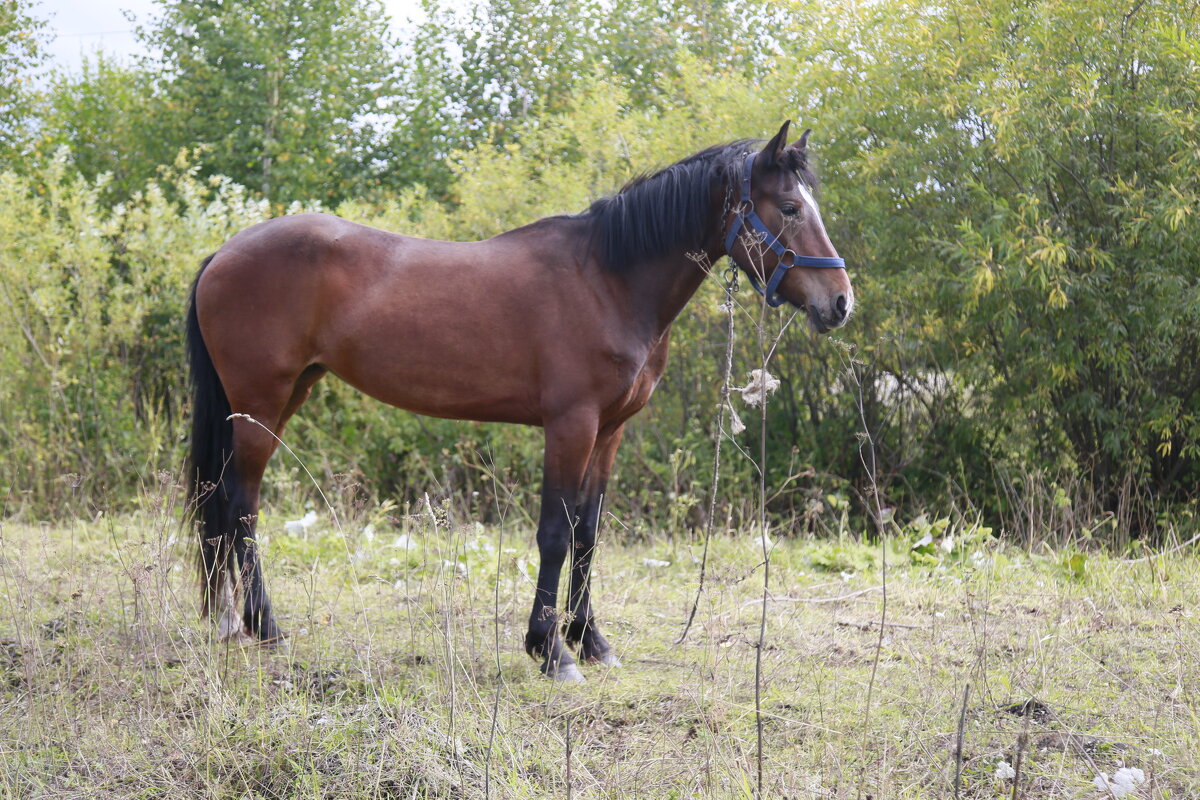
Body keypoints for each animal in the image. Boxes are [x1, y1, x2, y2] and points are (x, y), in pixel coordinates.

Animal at [184, 120, 854, 681]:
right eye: (789, 208)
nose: (841, 303)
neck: (607, 278)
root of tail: (224, 252)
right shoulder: (570, 426)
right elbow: (555, 533)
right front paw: (551, 650)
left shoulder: (608, 432)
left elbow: (588, 532)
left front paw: (592, 641)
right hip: (261, 402)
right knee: (241, 506)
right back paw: (264, 627)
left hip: (287, 393)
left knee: (226, 503)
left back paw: (234, 623)